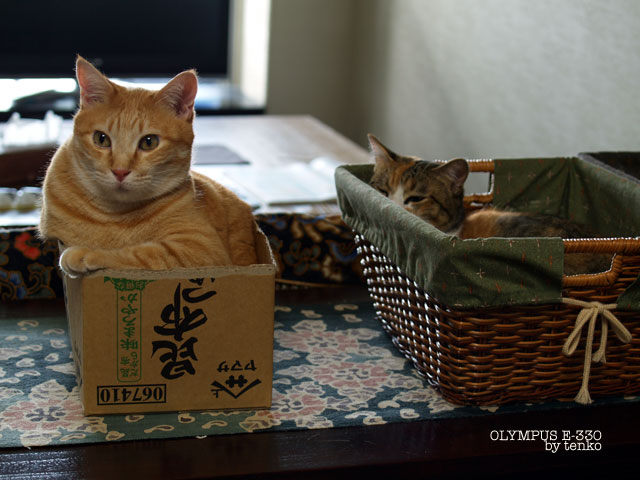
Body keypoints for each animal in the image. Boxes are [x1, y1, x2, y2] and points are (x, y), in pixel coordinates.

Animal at [38, 56, 258, 276]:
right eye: (101, 139)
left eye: (149, 142)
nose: (120, 171)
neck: (114, 216)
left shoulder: (202, 249)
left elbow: (141, 252)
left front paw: (86, 253)